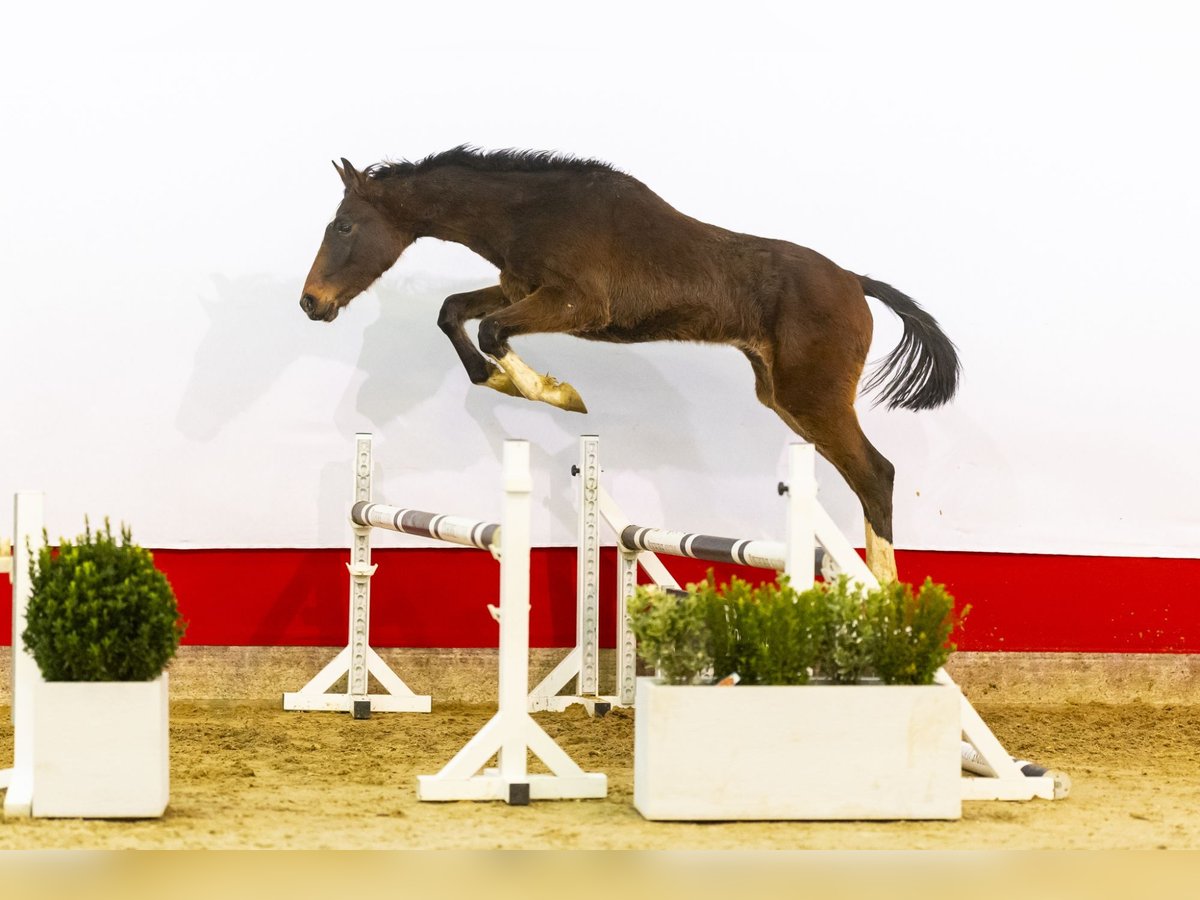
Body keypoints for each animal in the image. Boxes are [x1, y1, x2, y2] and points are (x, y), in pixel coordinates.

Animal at [297, 146, 955, 585]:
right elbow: (454, 312)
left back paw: (888, 596)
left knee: (876, 474)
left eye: (344, 225)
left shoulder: (575, 304)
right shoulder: (519, 289)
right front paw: (503, 381)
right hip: (782, 396)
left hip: (811, 396)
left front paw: (559, 393)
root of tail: (856, 283)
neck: (530, 211)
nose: (311, 303)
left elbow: (489, 330)